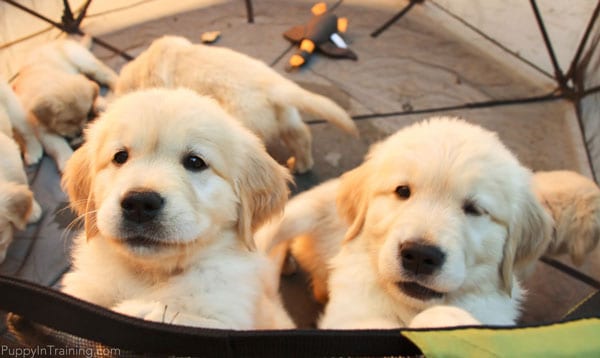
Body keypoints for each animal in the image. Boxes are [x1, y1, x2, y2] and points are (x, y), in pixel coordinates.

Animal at [12, 35, 118, 173]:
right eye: (68, 121)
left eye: (85, 116)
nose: (79, 133)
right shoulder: (43, 131)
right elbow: (59, 145)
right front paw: (67, 160)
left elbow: (95, 96)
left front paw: (102, 104)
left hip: (84, 61)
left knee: (106, 73)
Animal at [61, 88, 296, 328]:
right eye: (120, 157)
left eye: (195, 162)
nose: (139, 203)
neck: (151, 275)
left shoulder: (228, 319)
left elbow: (173, 315)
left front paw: (135, 308)